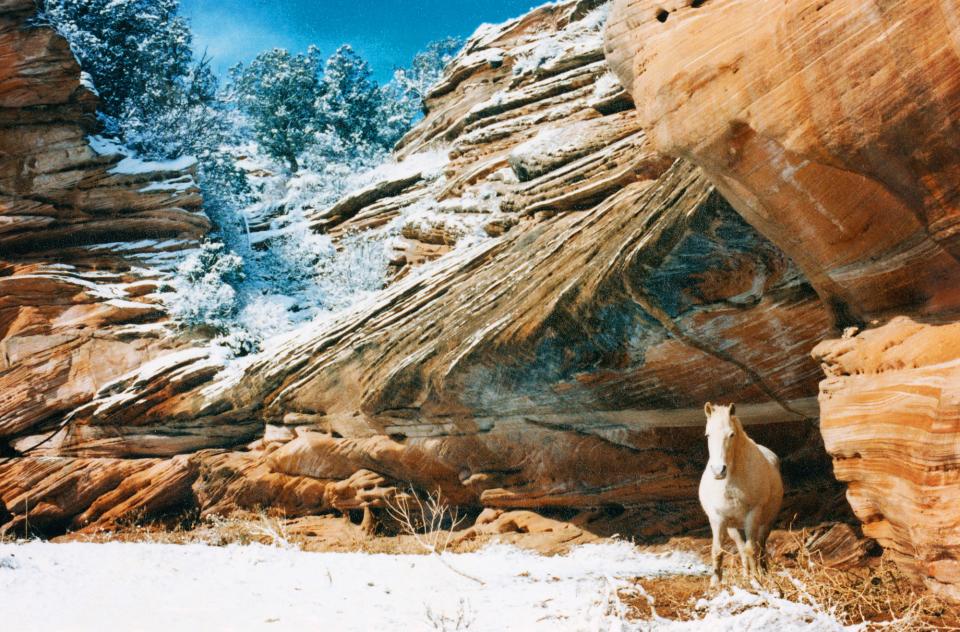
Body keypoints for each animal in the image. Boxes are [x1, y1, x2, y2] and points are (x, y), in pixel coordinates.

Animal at [700, 402, 784, 584]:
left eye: (731, 434)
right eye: (708, 435)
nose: (718, 470)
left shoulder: (753, 514)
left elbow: (751, 549)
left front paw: (756, 579)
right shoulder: (717, 518)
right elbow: (717, 550)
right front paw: (715, 583)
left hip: (765, 522)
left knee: (760, 546)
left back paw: (762, 572)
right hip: (733, 527)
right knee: (740, 547)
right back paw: (747, 574)